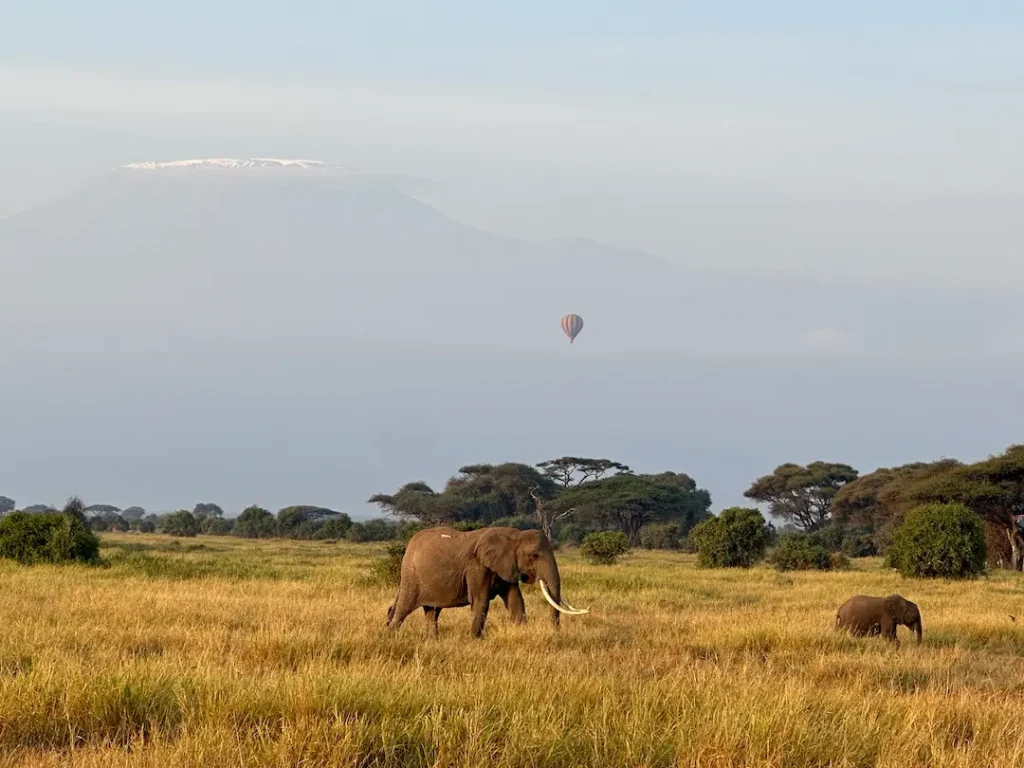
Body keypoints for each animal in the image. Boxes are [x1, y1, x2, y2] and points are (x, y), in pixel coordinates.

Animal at [385, 526, 589, 638]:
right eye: (534, 556)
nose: (556, 630)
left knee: (432, 611)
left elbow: (515, 601)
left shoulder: (506, 565)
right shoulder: (477, 566)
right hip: (411, 575)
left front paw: (522, 632)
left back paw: (433, 641)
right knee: (403, 607)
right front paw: (475, 640)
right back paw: (391, 636)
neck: (514, 535)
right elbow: (480, 601)